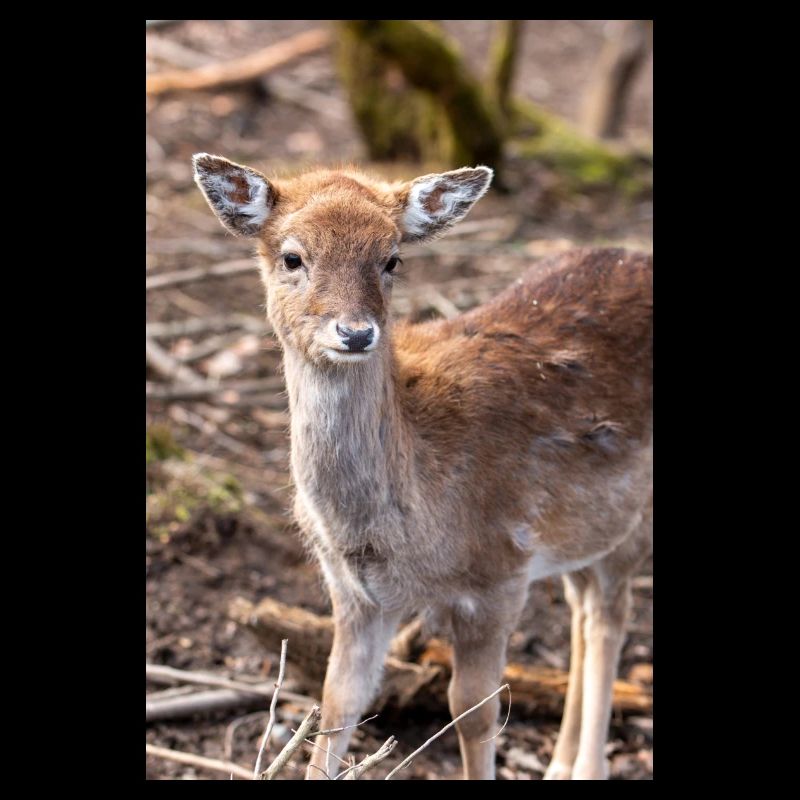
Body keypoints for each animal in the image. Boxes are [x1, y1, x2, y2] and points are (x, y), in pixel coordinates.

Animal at [193, 153, 652, 781]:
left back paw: (585, 767)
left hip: (632, 520)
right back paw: (559, 764)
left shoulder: (498, 574)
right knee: (584, 611)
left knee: (611, 617)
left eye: (392, 258)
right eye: (291, 256)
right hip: (583, 529)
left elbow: (474, 712)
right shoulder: (353, 592)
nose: (356, 332)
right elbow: (338, 702)